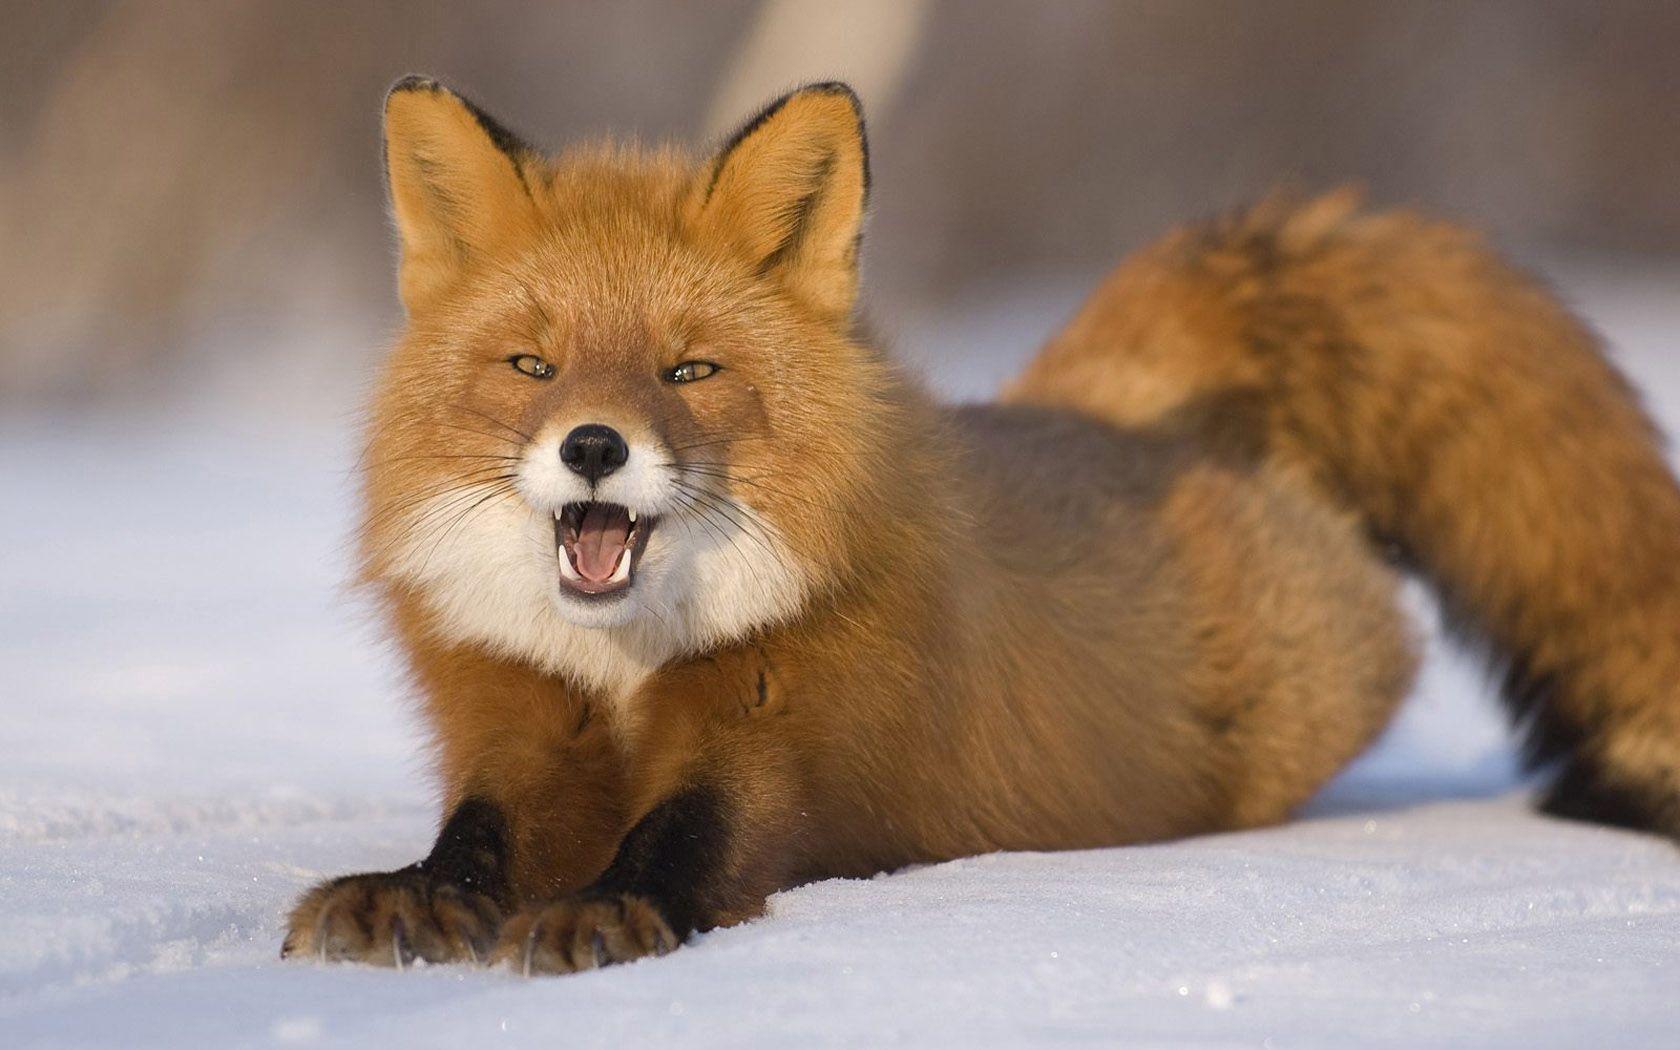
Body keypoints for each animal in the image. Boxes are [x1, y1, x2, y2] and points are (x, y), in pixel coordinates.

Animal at [282, 76, 1680, 974]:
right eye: (532, 366)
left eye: (689, 371)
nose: (591, 446)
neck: (626, 668)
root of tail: (1112, 411)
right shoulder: (517, 719)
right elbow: (478, 834)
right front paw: (413, 898)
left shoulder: (788, 734)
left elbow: (688, 837)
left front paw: (608, 912)